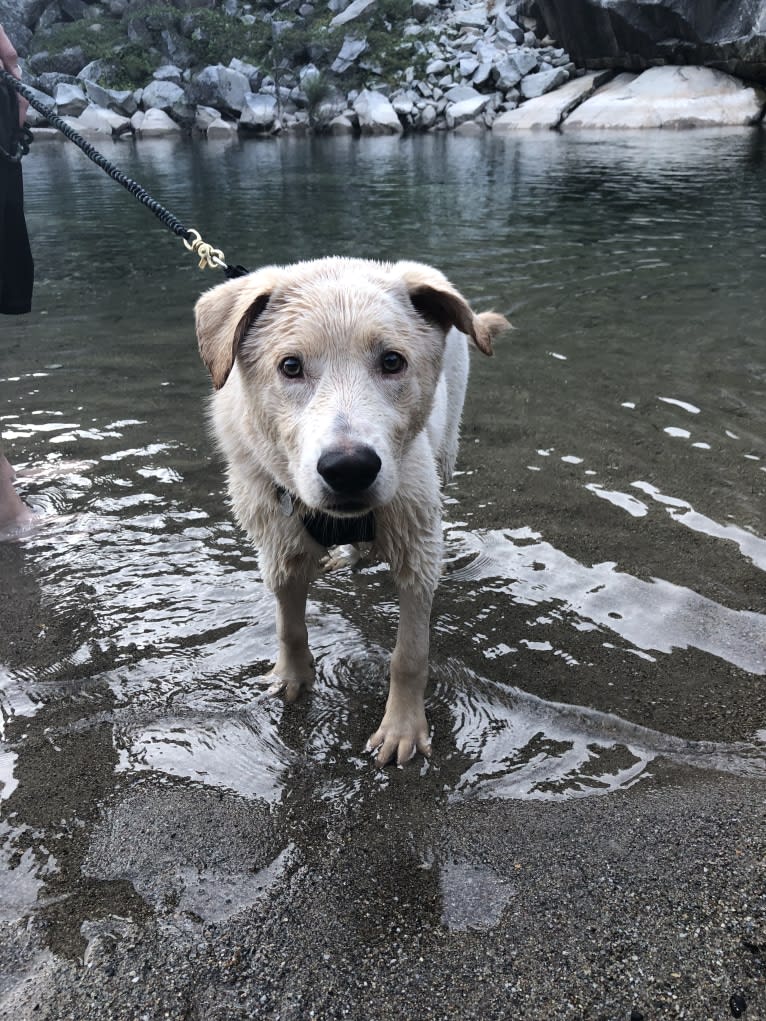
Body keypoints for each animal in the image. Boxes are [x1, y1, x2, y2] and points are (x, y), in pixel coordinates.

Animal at [196, 257, 510, 767]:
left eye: (392, 361)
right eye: (290, 366)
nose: (349, 469)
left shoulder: (416, 545)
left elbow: (409, 655)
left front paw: (402, 729)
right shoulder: (277, 544)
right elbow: (289, 625)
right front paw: (291, 678)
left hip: (446, 450)